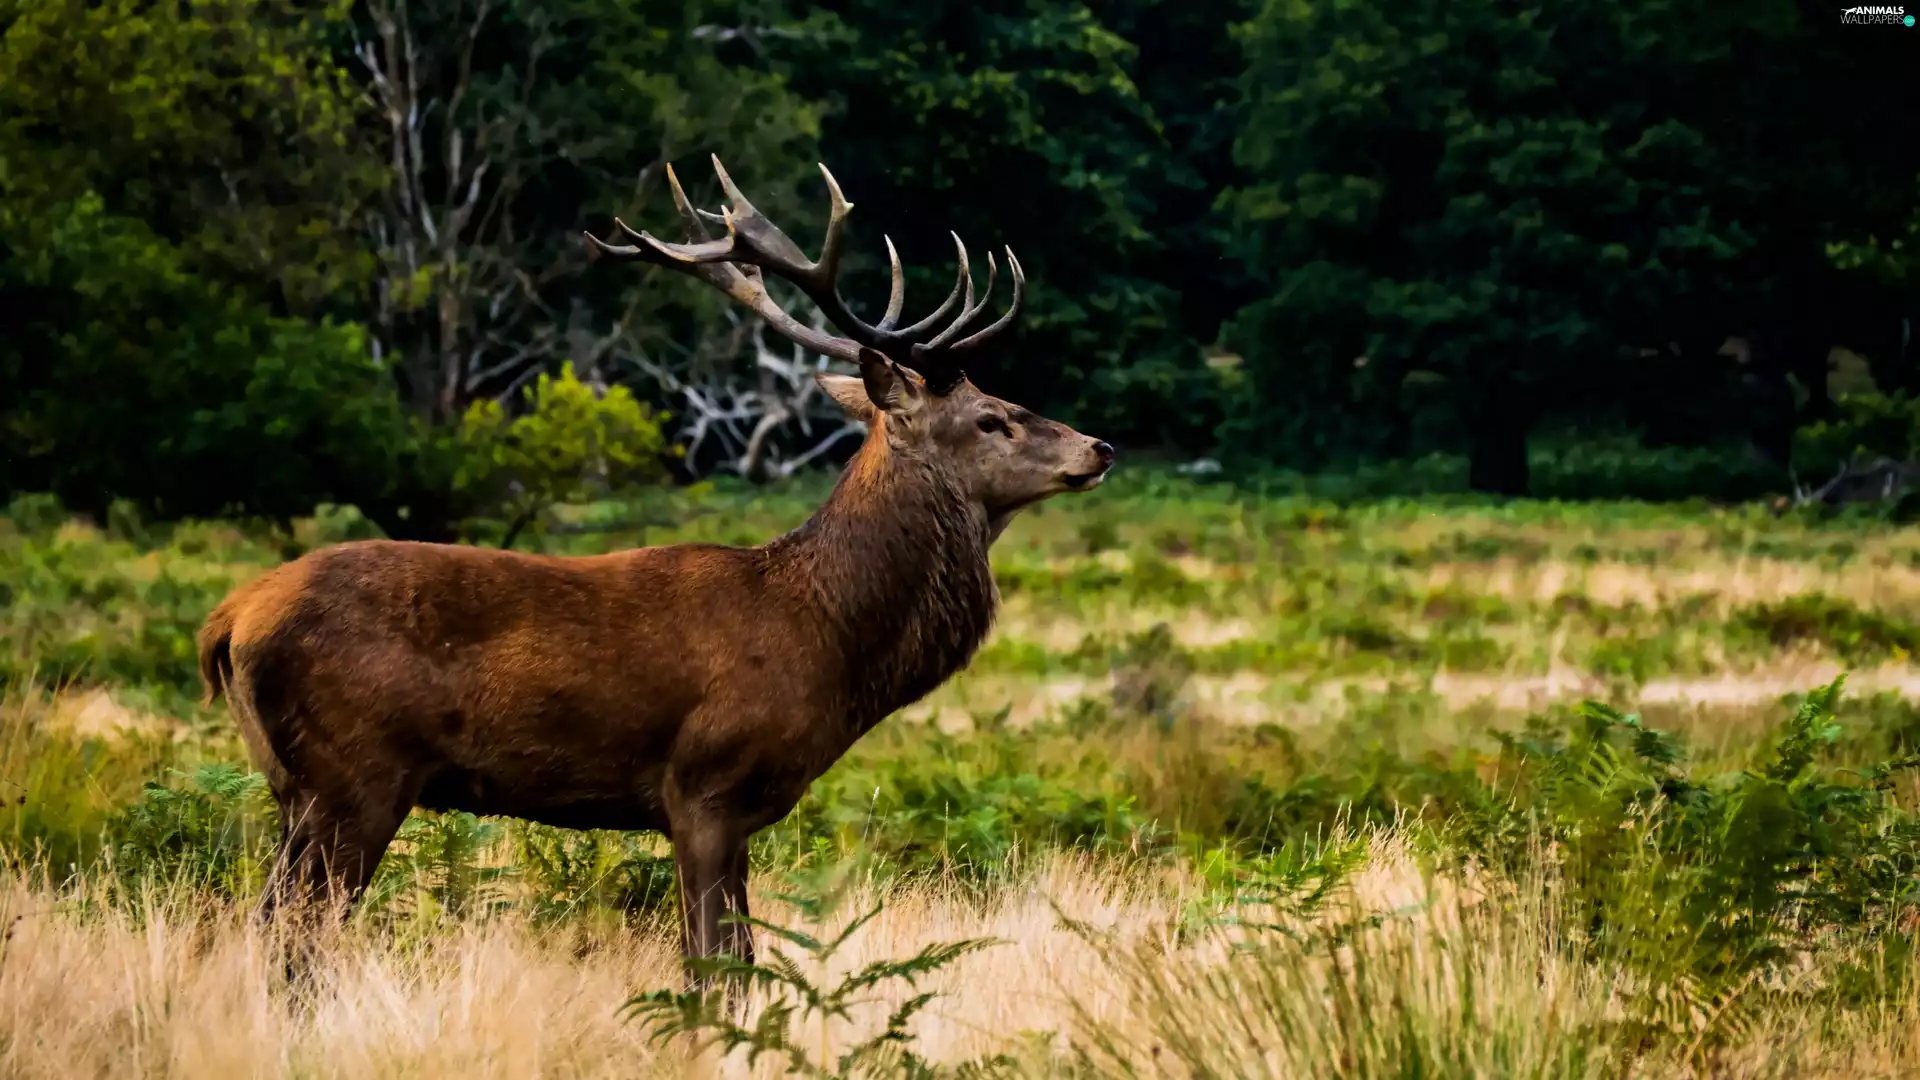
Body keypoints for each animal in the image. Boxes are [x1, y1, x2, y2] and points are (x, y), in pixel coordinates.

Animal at [195, 155, 1115, 984]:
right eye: (992, 417)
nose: (1099, 446)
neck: (825, 636)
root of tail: (228, 621)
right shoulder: (702, 785)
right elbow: (714, 965)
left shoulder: (737, 809)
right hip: (354, 775)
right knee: (295, 941)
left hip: (295, 790)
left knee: (266, 927)